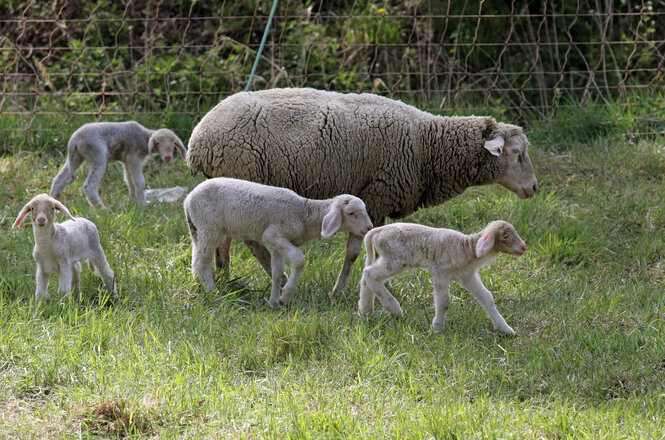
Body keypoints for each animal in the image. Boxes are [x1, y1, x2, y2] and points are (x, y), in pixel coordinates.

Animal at [49, 120, 185, 208]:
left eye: (174, 143)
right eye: (157, 143)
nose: (168, 158)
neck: (144, 138)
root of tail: (73, 142)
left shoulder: (127, 161)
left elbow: (130, 181)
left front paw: (133, 203)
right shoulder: (134, 158)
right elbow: (139, 182)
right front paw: (143, 205)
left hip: (76, 157)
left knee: (59, 180)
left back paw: (54, 203)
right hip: (98, 157)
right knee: (89, 186)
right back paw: (103, 210)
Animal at [183, 177, 374, 308]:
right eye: (351, 213)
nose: (369, 227)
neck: (303, 214)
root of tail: (188, 199)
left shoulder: (277, 245)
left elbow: (276, 273)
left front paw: (274, 302)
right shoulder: (273, 236)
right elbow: (298, 260)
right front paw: (285, 296)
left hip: (197, 231)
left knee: (196, 261)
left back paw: (200, 286)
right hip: (209, 228)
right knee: (201, 264)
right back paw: (214, 294)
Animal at [356, 220, 528, 334]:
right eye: (505, 236)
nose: (524, 247)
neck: (466, 249)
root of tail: (377, 231)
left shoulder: (467, 276)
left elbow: (487, 297)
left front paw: (505, 329)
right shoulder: (441, 273)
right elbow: (444, 302)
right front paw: (437, 328)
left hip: (389, 258)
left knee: (366, 276)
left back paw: (366, 311)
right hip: (395, 260)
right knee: (370, 273)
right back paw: (394, 308)